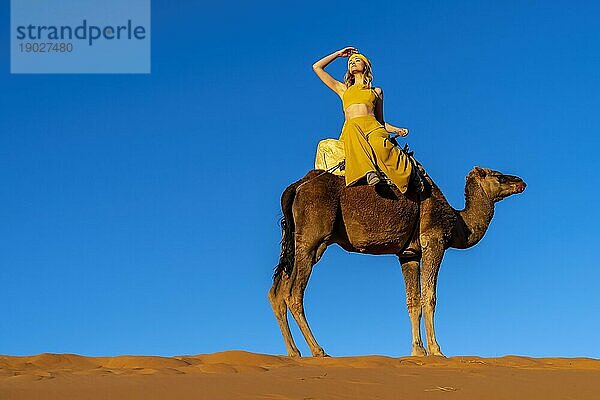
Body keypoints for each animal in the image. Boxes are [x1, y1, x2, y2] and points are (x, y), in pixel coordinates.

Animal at [268, 164, 524, 358]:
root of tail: (296, 187)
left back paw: (294, 352)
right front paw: (436, 350)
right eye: (498, 176)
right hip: (314, 237)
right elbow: (429, 297)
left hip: (298, 241)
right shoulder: (434, 241)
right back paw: (319, 350)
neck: (458, 222)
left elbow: (413, 302)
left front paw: (418, 351)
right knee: (293, 293)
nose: (521, 181)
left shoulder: (408, 254)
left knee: (277, 292)